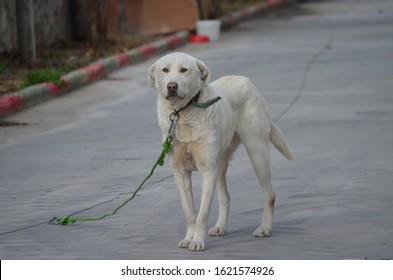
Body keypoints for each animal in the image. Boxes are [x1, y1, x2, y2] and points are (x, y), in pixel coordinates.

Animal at [147, 52, 290, 252]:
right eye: (165, 70)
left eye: (184, 70)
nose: (172, 86)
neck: (182, 113)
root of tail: (245, 80)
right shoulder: (181, 173)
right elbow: (189, 213)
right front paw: (189, 238)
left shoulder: (208, 171)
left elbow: (202, 213)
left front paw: (197, 241)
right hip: (221, 162)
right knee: (225, 197)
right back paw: (221, 227)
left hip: (256, 150)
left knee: (269, 194)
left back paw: (265, 228)